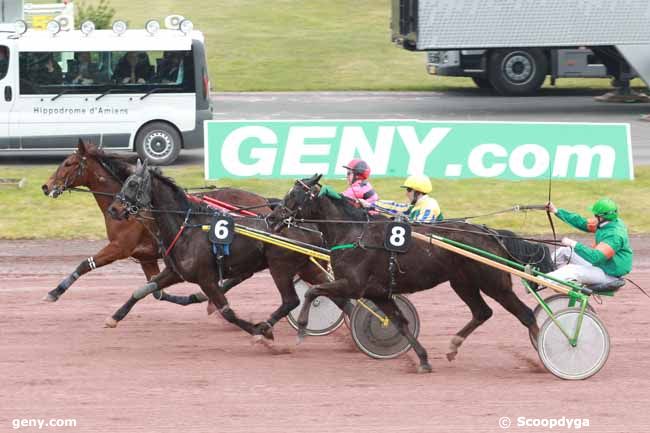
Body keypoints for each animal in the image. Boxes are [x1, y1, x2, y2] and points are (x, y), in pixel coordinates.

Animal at [268, 174, 536, 372]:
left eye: (293, 194)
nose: (271, 217)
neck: (354, 233)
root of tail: (491, 233)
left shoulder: (353, 285)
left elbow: (312, 292)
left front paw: (302, 328)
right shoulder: (377, 293)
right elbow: (400, 323)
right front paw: (424, 360)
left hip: (493, 283)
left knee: (526, 314)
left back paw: (542, 355)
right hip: (462, 283)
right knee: (482, 312)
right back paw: (453, 347)